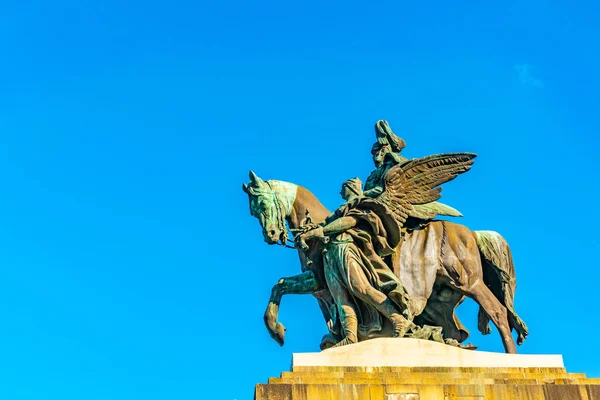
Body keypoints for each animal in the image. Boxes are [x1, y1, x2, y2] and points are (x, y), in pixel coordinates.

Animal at [241, 171, 528, 354]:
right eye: (253, 212)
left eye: (263, 204)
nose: (271, 235)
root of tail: (472, 233)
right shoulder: (319, 283)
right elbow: (280, 285)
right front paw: (277, 330)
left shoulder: (320, 280)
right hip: (444, 294)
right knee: (455, 330)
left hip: (469, 281)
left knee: (498, 312)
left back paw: (511, 361)